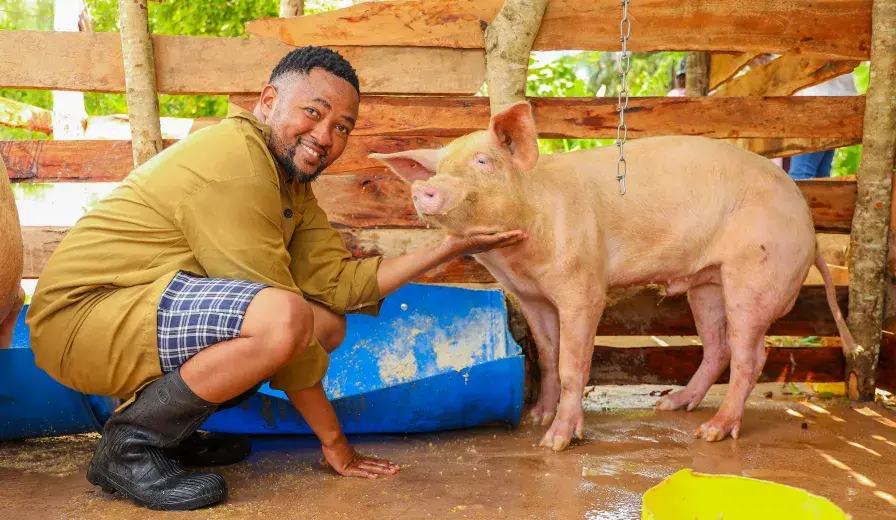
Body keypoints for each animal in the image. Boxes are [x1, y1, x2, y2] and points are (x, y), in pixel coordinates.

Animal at [371, 101, 855, 451]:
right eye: (437, 169)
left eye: (483, 161)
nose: (424, 188)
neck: (520, 255)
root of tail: (809, 225)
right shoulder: (532, 297)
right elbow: (547, 355)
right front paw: (537, 418)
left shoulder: (583, 286)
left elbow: (572, 364)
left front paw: (555, 442)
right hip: (707, 282)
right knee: (717, 347)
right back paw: (672, 406)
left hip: (754, 274)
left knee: (752, 355)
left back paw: (713, 432)